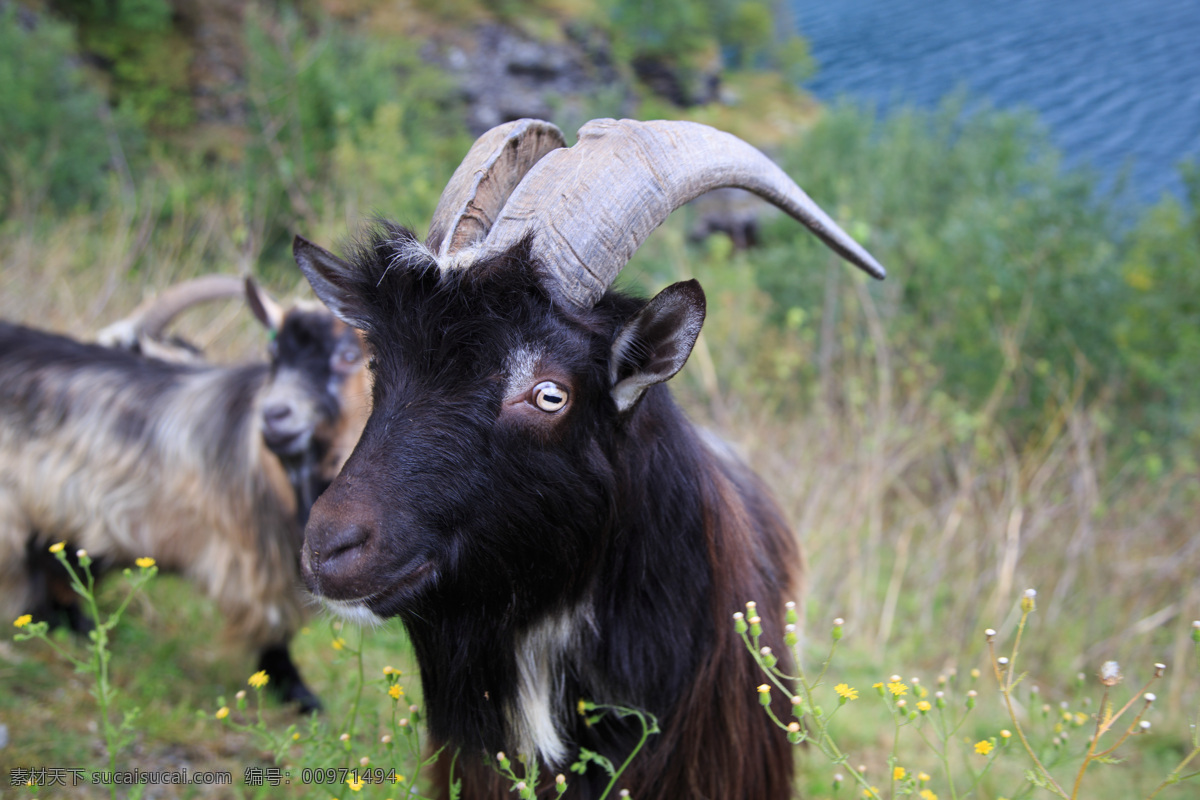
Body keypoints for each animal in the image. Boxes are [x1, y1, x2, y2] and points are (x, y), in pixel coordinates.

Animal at [0, 278, 369, 710]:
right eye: (274, 356)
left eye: (348, 356)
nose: (275, 415)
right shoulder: (257, 556)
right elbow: (274, 625)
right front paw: (295, 690)